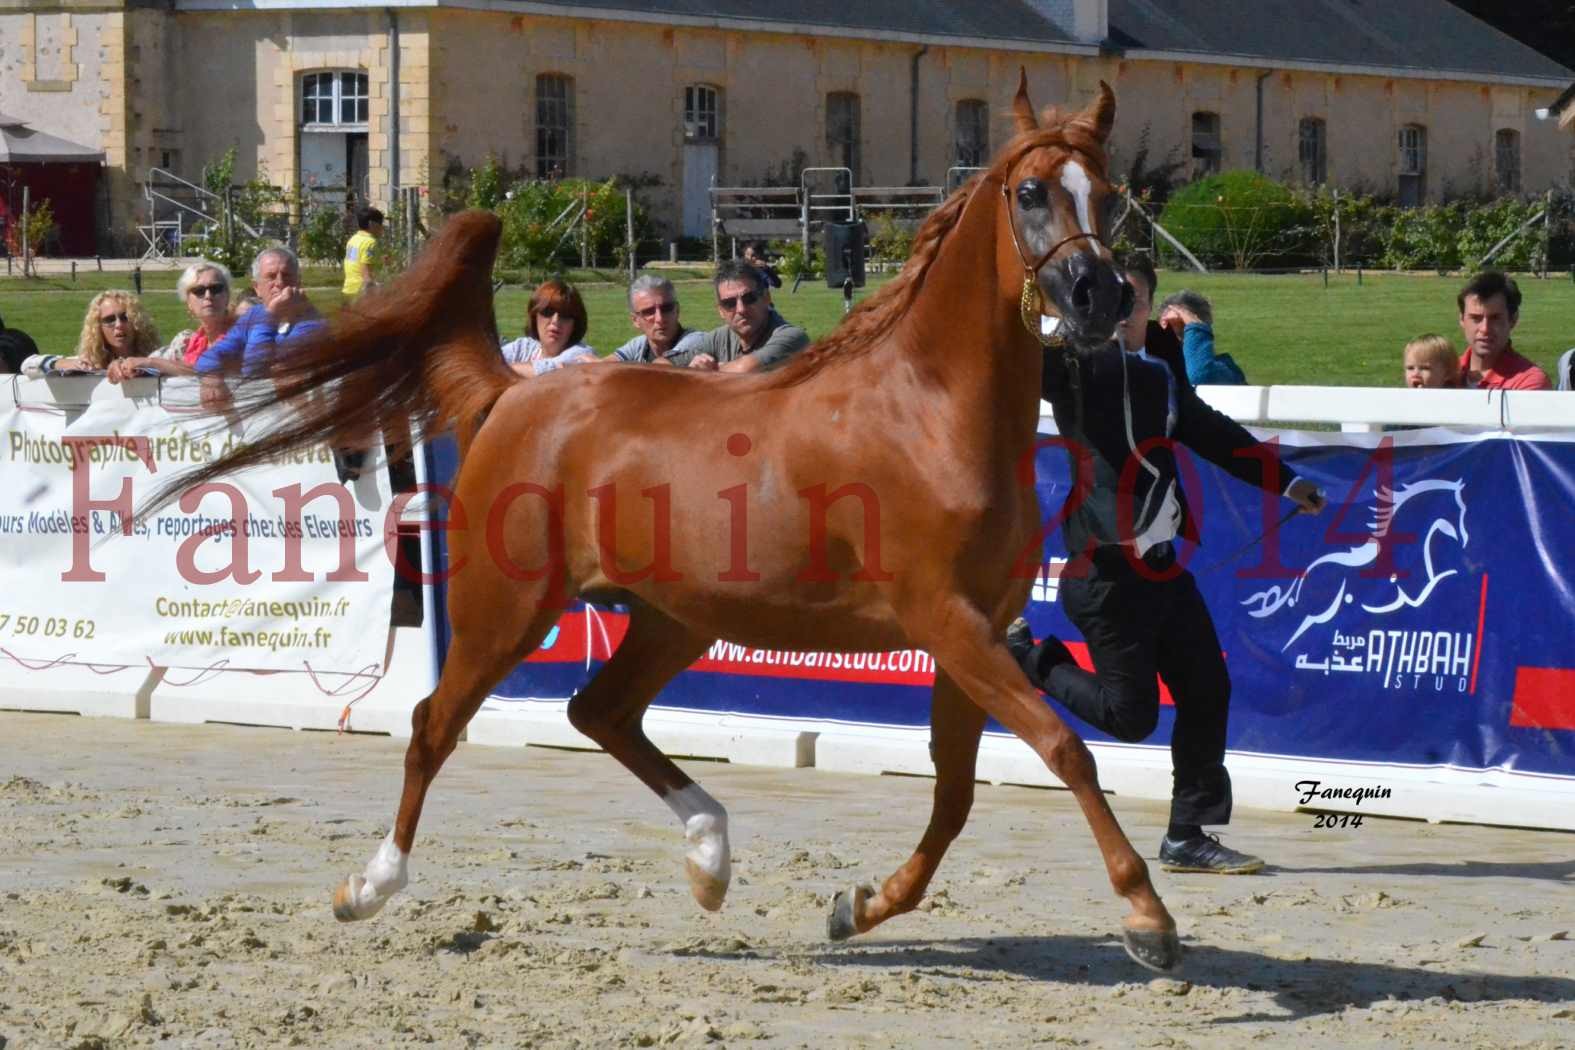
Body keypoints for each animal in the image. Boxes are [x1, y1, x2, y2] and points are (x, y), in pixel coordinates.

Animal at [159, 77, 1184, 976]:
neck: (928, 409)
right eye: (1030, 192)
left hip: (673, 618)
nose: (1097, 298)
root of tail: (520, 391)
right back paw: (369, 887)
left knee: (597, 711)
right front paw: (1147, 919)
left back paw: (710, 857)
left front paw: (857, 906)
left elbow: (958, 791)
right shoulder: (947, 620)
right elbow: (1061, 750)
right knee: (433, 724)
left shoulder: (973, 629)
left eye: (1109, 195)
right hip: (508, 609)